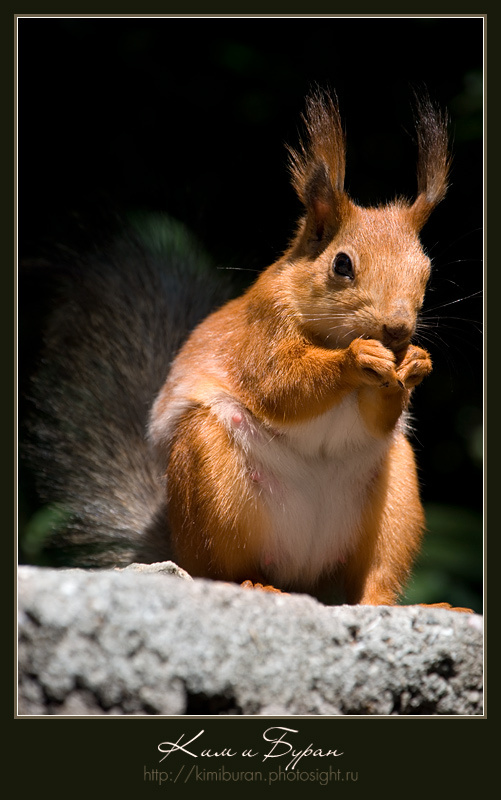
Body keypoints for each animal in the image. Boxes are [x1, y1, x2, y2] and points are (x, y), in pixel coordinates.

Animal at [22, 90, 471, 610]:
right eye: (341, 265)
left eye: (427, 271)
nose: (398, 329)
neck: (330, 334)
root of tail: (301, 576)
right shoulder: (261, 330)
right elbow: (282, 385)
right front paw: (356, 360)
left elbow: (378, 416)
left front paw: (416, 362)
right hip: (210, 481)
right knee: (222, 568)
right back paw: (251, 584)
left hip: (395, 494)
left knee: (375, 575)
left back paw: (401, 603)